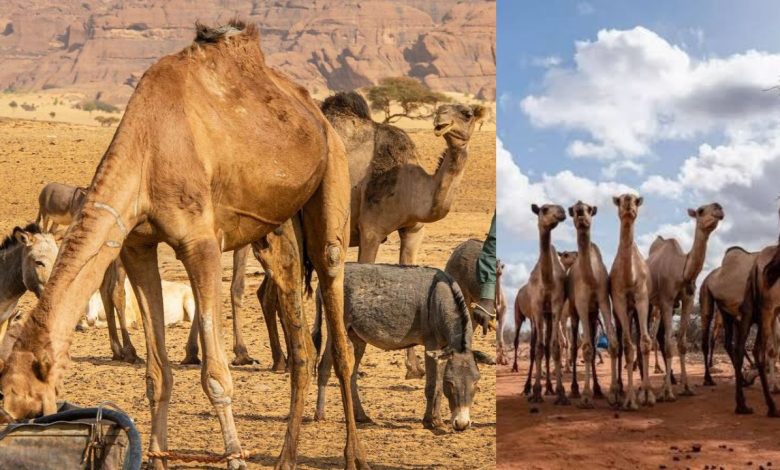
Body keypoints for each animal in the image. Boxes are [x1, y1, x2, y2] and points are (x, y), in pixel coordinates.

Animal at [0, 21, 367, 470]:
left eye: (21, 405)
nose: (16, 426)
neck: (146, 150)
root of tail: (315, 113)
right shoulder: (137, 246)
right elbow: (157, 374)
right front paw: (157, 456)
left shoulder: (201, 244)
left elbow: (215, 374)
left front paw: (235, 457)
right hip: (278, 226)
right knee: (299, 334)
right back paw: (286, 456)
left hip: (332, 174)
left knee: (335, 296)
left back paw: (354, 455)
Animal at [321, 92, 486, 378]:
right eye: (440, 109)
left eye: (467, 113)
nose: (441, 123)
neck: (410, 184)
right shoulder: (371, 229)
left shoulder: (413, 230)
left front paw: (414, 368)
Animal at [514, 203, 567, 404]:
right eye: (544, 209)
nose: (562, 212)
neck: (547, 282)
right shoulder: (536, 309)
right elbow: (538, 348)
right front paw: (536, 391)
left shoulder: (556, 307)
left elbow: (555, 347)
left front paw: (561, 392)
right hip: (527, 317)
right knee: (532, 345)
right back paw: (527, 386)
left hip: (548, 317)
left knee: (547, 347)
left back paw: (550, 388)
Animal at [647, 203, 724, 400]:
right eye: (701, 211)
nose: (719, 208)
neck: (681, 270)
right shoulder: (667, 300)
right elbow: (669, 344)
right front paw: (667, 393)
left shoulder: (687, 300)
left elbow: (681, 343)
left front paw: (687, 387)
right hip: (648, 301)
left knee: (654, 336)